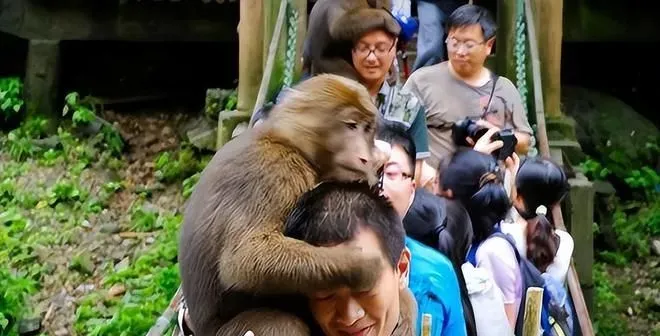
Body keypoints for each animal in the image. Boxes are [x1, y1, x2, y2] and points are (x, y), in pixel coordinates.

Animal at [178, 74, 390, 336]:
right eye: (351, 125)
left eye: (367, 129)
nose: (365, 157)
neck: (291, 141)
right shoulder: (278, 171)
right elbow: (244, 258)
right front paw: (362, 266)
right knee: (281, 322)